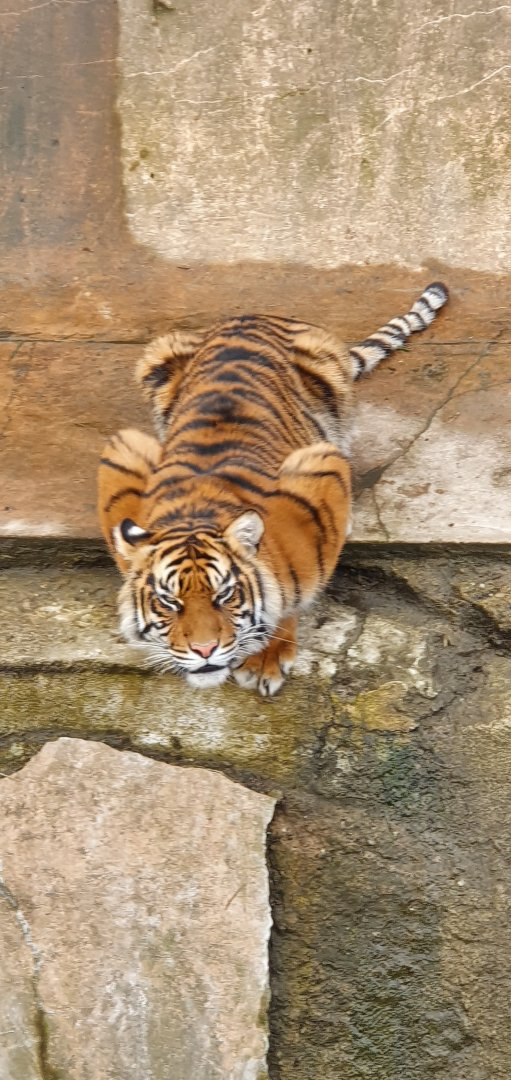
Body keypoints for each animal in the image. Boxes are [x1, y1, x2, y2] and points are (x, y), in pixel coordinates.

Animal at [98, 282, 448, 696]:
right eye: (169, 602)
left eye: (224, 595)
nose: (204, 650)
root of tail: (253, 315)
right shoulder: (121, 453)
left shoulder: (321, 465)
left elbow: (291, 597)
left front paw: (265, 659)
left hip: (328, 371)